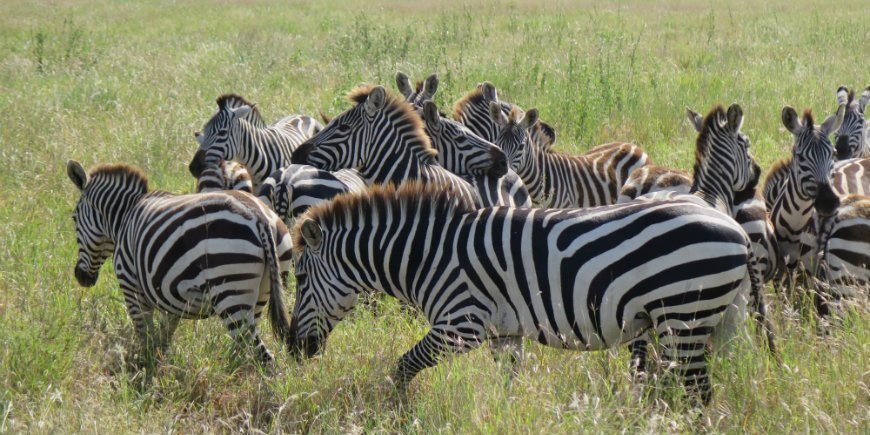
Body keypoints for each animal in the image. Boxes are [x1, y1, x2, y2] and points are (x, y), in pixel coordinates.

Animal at [67, 161, 294, 363]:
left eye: (74, 218)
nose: (80, 277)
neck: (123, 217)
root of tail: (258, 216)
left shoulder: (131, 287)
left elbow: (145, 336)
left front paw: (146, 370)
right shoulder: (170, 297)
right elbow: (164, 337)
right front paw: (159, 365)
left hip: (231, 290)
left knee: (262, 355)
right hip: (262, 292)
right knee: (244, 348)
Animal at [289, 180, 761, 406]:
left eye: (300, 278)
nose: (295, 349)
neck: (429, 256)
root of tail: (734, 227)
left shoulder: (461, 325)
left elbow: (403, 367)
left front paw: (400, 411)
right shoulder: (504, 334)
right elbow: (507, 387)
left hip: (684, 315)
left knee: (697, 392)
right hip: (714, 319)